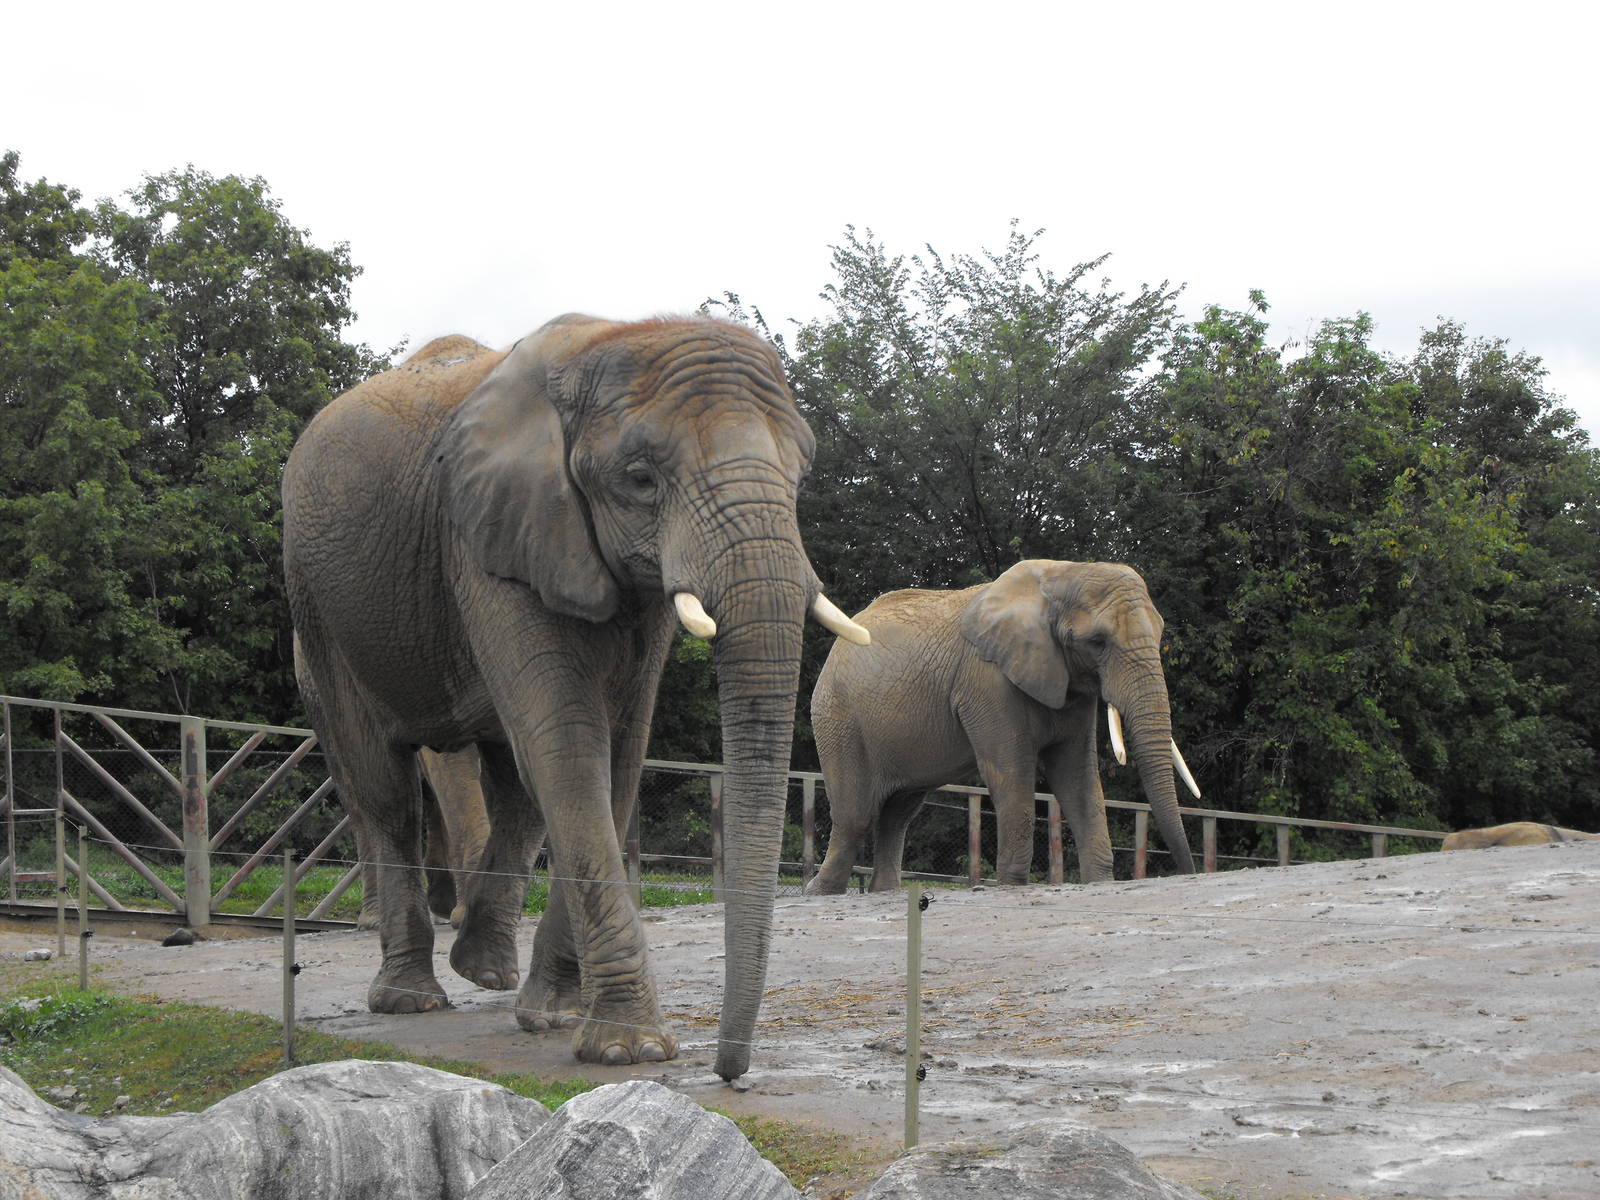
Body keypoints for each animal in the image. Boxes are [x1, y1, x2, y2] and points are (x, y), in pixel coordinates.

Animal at [282, 317, 866, 1080]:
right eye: (641, 479)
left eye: (800, 478)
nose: (728, 1071)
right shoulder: (489, 540)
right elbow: (570, 750)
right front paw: (629, 1049)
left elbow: (614, 761)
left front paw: (559, 1019)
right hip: (318, 615)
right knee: (385, 791)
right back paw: (411, 1000)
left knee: (515, 790)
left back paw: (485, 973)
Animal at [807, 560, 1199, 894]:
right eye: (1097, 642)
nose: (1189, 872)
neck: (1060, 574)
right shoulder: (988, 682)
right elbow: (1010, 771)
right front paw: (1012, 885)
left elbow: (1078, 777)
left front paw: (1099, 882)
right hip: (838, 717)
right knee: (856, 815)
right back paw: (819, 891)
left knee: (898, 813)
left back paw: (884, 891)